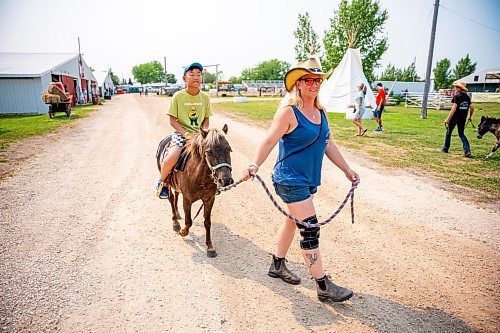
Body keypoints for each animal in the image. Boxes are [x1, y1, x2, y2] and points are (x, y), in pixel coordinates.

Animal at [155, 124, 233, 256]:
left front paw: (210, 247)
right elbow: (189, 221)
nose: (226, 180)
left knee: (176, 196)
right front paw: (183, 231)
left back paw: (177, 214)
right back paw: (175, 222)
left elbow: (207, 222)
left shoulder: (209, 200)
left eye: (229, 149)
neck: (200, 177)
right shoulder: (187, 200)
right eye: (209, 152)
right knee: (171, 198)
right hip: (168, 183)